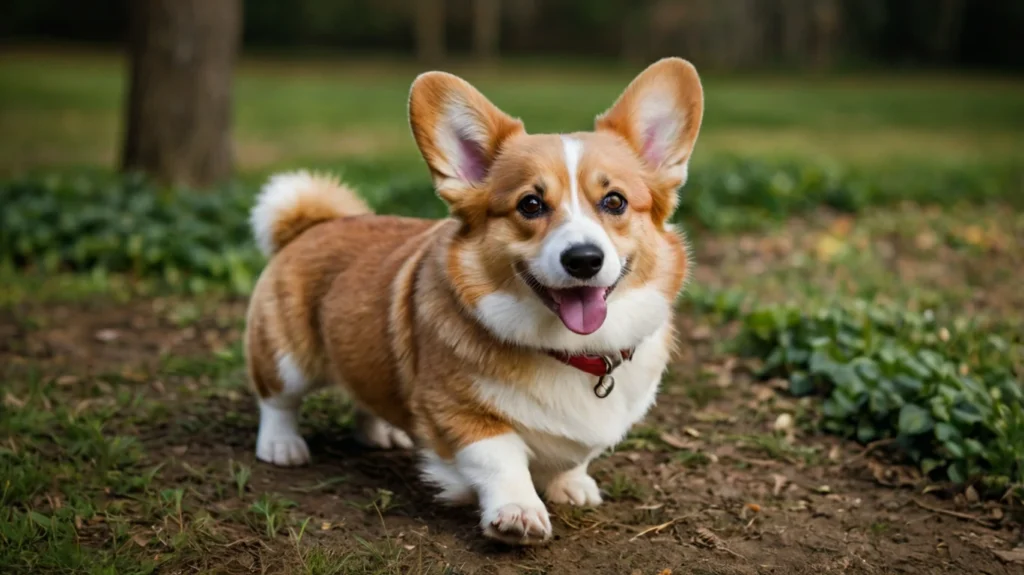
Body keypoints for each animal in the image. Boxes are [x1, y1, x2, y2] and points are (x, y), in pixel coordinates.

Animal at [243, 57, 700, 540]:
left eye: (614, 201)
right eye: (531, 204)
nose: (583, 260)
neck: (571, 352)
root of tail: (312, 225)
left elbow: (574, 456)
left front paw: (571, 485)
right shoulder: (457, 411)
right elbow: (500, 457)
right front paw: (517, 511)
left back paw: (381, 430)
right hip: (287, 357)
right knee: (277, 400)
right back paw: (282, 445)